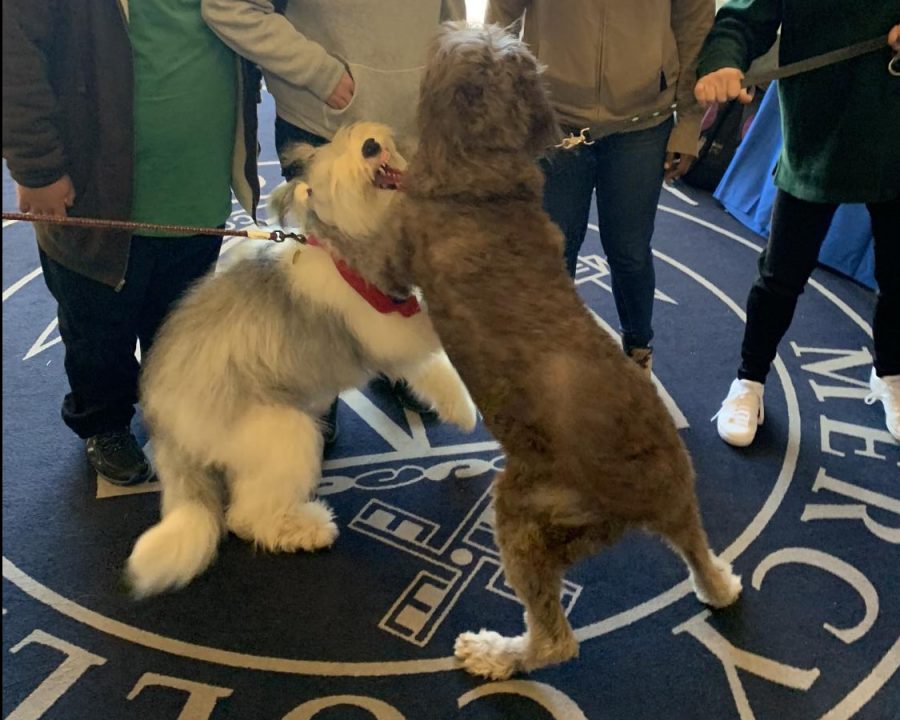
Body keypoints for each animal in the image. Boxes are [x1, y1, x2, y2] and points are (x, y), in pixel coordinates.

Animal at [128, 122, 478, 596]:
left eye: (358, 136)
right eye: (338, 166)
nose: (371, 145)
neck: (347, 254)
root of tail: (165, 426)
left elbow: (434, 371)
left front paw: (463, 412)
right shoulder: (387, 331)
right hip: (281, 431)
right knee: (246, 516)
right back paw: (308, 529)